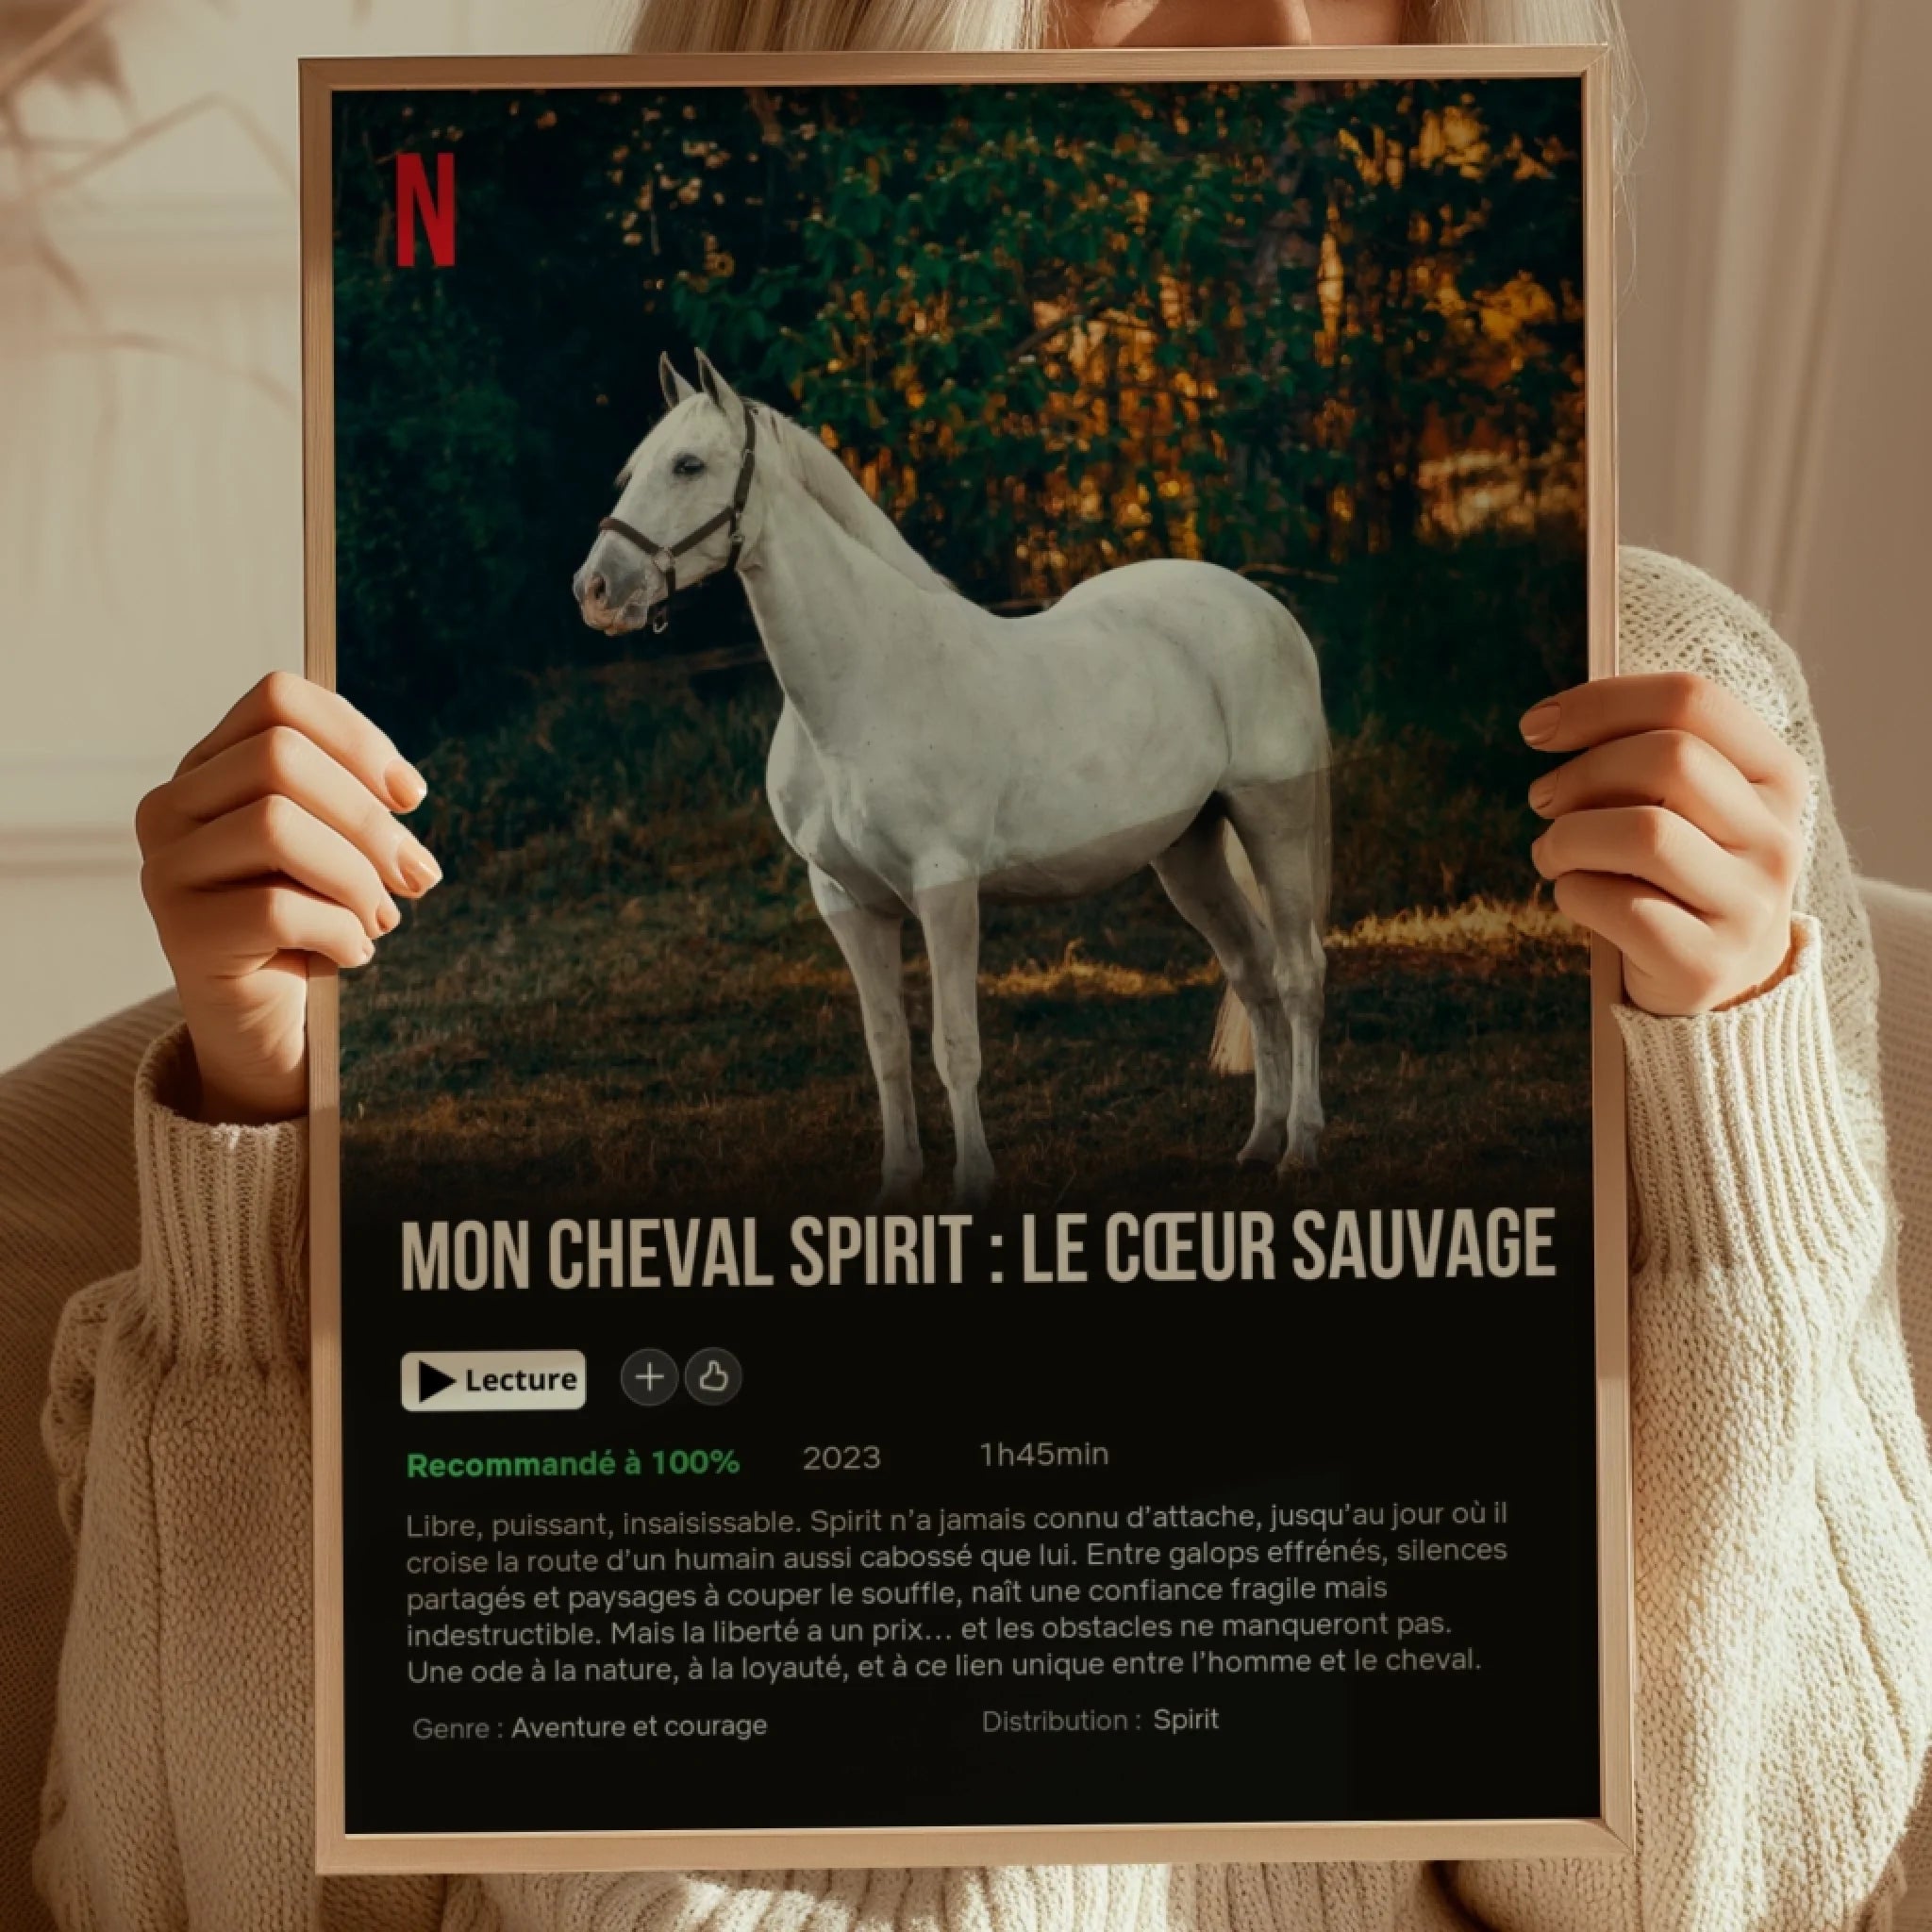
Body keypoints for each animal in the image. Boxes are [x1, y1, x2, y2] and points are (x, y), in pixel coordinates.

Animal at [573, 350, 1331, 1207]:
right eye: (634, 469)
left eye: (688, 465)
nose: (596, 592)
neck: (863, 684)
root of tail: (1262, 604)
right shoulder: (848, 904)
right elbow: (887, 1049)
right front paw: (897, 1186)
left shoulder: (944, 890)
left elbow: (954, 1046)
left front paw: (972, 1188)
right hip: (1188, 850)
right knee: (1253, 972)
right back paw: (1258, 1144)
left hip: (1273, 820)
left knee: (1299, 973)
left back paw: (1300, 1145)